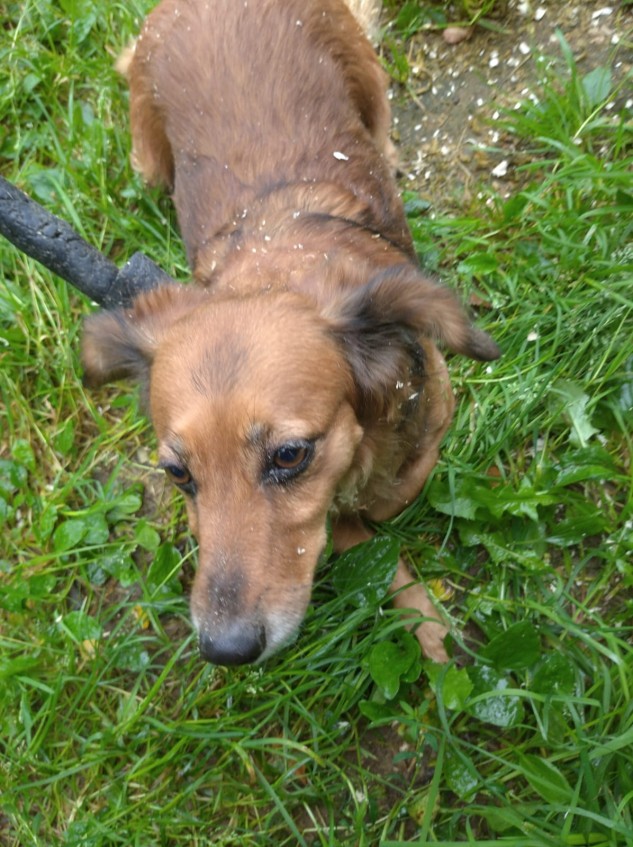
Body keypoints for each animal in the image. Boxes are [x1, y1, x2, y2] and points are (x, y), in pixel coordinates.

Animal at [81, 0, 500, 666]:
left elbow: (397, 488)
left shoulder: (433, 406)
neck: (277, 267)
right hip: (147, 160)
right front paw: (420, 616)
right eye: (177, 474)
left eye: (289, 456)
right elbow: (359, 533)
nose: (224, 649)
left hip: (369, 79)